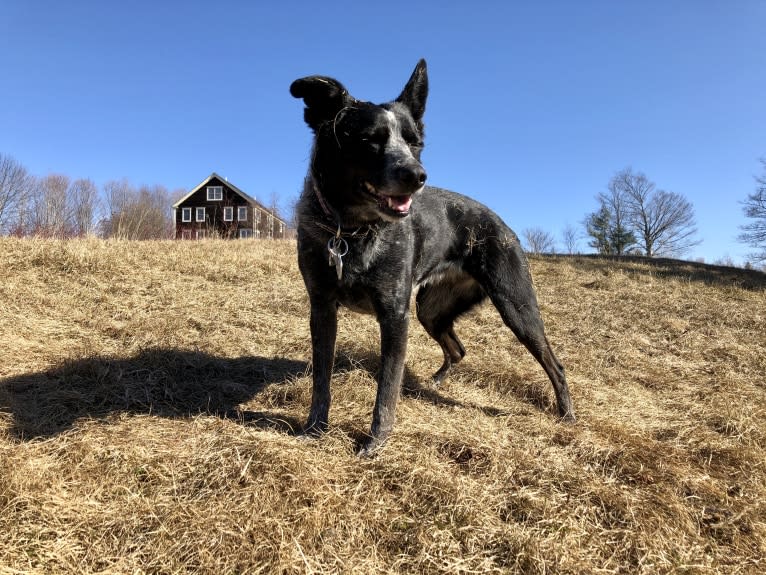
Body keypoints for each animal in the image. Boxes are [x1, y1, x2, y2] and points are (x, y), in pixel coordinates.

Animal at [294, 58, 576, 454]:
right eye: (369, 139)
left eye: (415, 143)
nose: (418, 176)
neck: (351, 231)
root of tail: (503, 224)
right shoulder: (321, 308)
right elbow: (322, 378)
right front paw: (315, 428)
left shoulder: (395, 316)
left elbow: (387, 389)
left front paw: (375, 442)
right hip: (431, 309)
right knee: (458, 350)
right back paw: (436, 382)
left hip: (516, 307)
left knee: (555, 364)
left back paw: (566, 415)